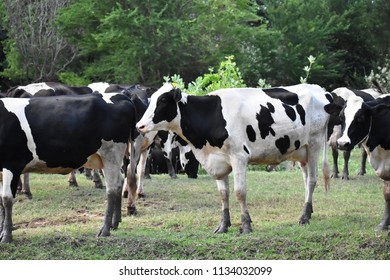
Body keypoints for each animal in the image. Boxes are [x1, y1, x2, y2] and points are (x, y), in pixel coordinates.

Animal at [0, 92, 139, 243]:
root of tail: (120, 95)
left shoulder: (12, 163)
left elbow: (6, 199)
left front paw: (6, 235)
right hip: (106, 159)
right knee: (120, 182)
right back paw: (115, 223)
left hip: (111, 153)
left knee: (112, 189)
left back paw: (105, 229)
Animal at [137, 83, 332, 234]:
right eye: (151, 100)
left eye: (163, 100)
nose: (139, 125)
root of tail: (320, 90)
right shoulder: (218, 162)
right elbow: (224, 195)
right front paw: (223, 226)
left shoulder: (239, 158)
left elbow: (240, 192)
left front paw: (245, 225)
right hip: (301, 151)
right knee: (306, 179)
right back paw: (309, 210)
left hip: (314, 144)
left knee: (312, 180)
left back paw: (304, 216)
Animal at [324, 93, 390, 231]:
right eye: (341, 117)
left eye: (360, 118)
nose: (342, 143)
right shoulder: (384, 168)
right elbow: (387, 194)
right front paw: (383, 225)